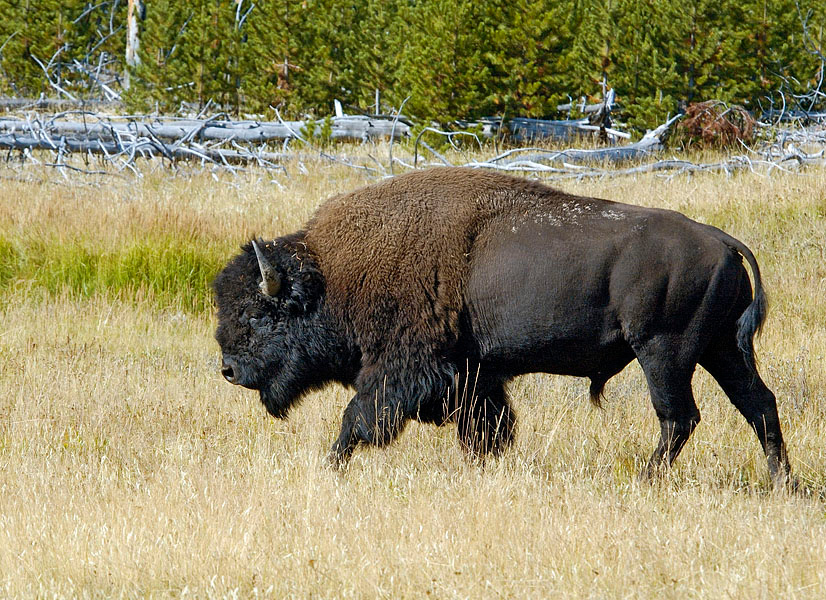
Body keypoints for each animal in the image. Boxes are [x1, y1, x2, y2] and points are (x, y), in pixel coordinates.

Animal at [213, 167, 791, 485]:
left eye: (257, 314)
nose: (229, 370)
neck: (334, 274)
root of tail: (720, 240)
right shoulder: (475, 377)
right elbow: (487, 430)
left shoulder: (401, 369)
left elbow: (357, 418)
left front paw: (330, 468)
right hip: (720, 349)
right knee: (758, 405)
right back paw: (783, 485)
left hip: (664, 353)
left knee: (679, 418)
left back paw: (647, 482)